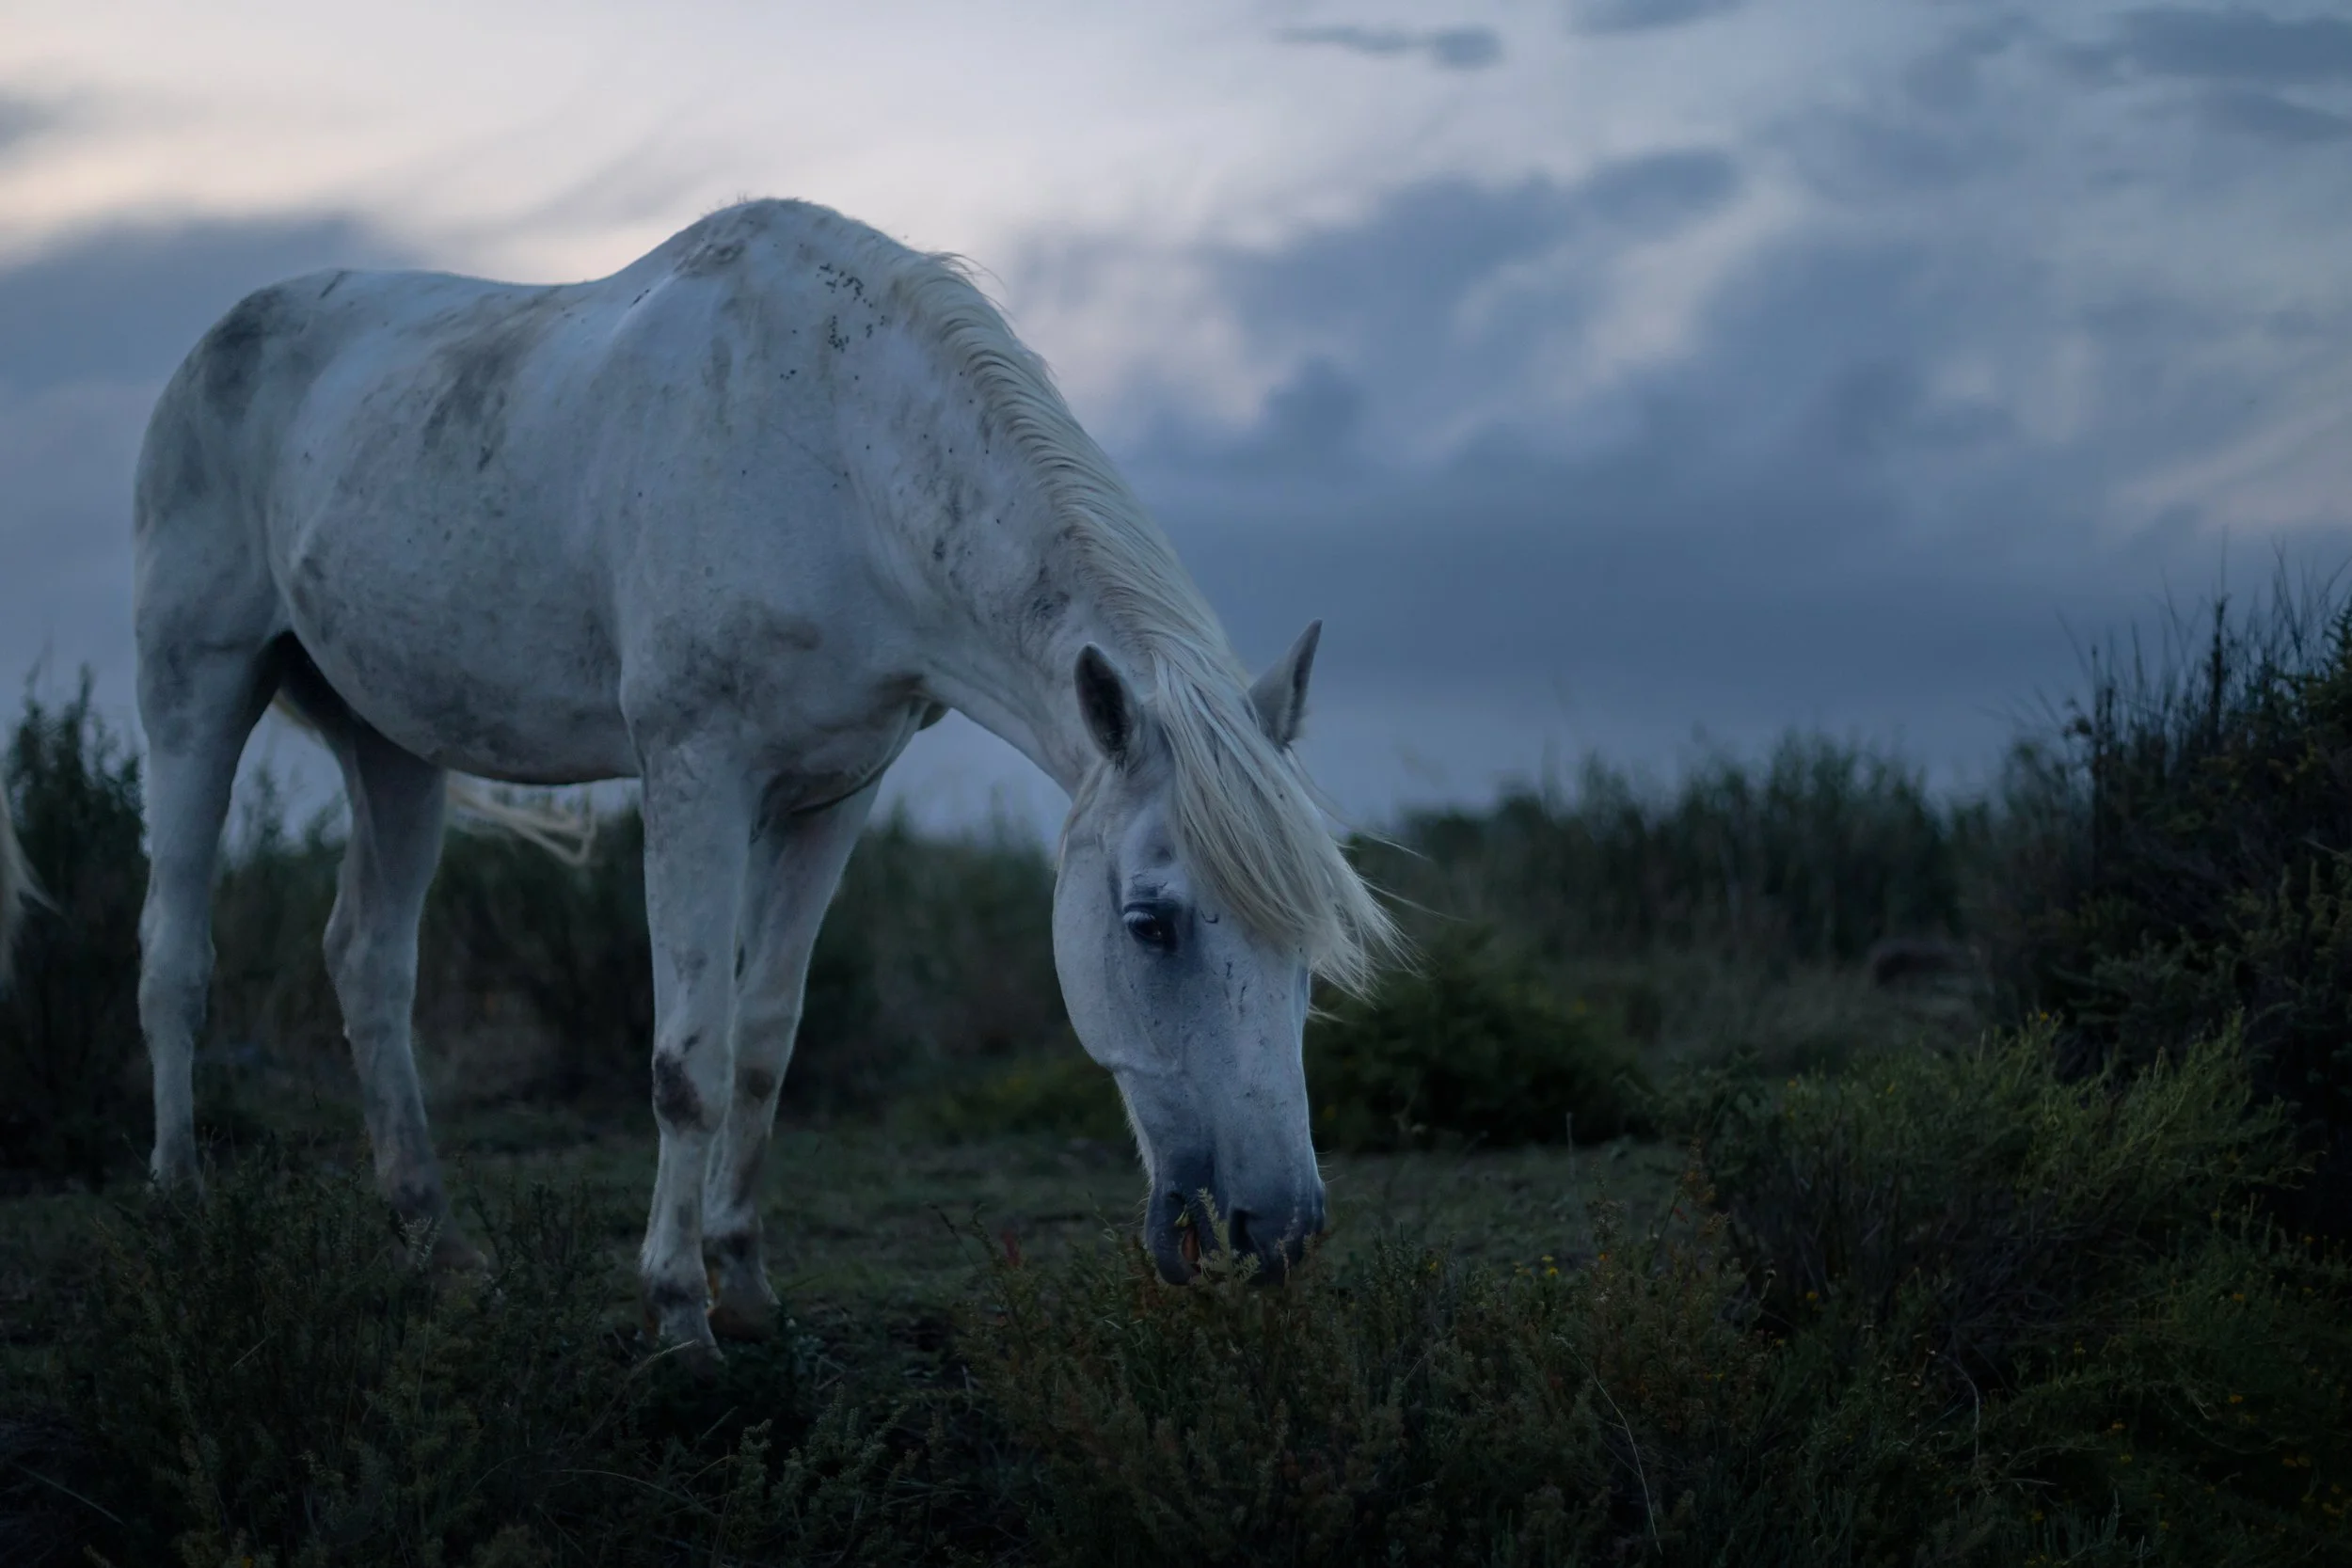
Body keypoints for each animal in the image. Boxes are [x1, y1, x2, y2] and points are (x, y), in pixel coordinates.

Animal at [120, 198, 1399, 1355]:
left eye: (1308, 948)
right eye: (1147, 924)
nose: (1274, 1230)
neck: (837, 458)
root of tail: (219, 340)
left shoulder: (834, 794)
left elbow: (761, 1042)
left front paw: (743, 1284)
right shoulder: (696, 774)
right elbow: (685, 1057)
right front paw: (679, 1318)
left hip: (393, 743)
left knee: (369, 963)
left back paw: (438, 1247)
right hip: (196, 684)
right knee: (175, 957)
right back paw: (184, 1218)